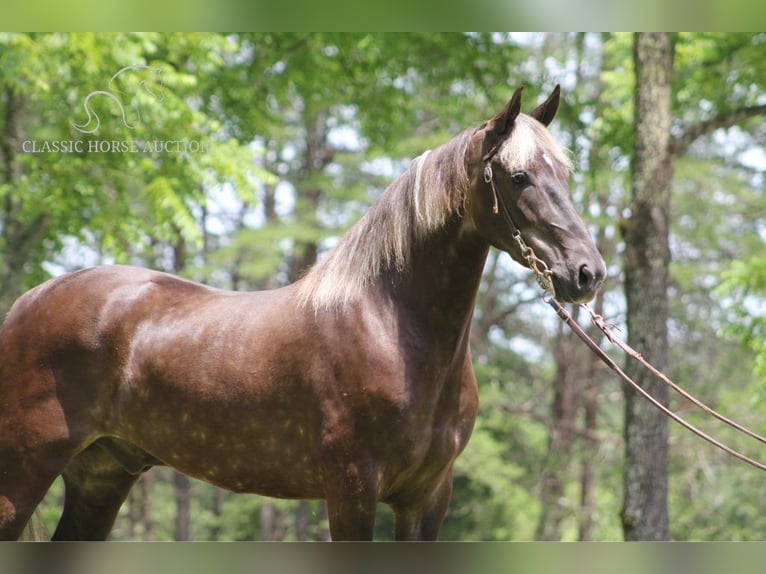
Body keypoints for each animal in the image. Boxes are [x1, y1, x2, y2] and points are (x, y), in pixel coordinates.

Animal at [0, 85, 608, 540]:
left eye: (565, 175)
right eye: (519, 177)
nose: (587, 273)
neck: (391, 329)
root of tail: (28, 302)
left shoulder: (428, 497)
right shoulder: (352, 490)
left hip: (101, 476)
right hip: (23, 473)